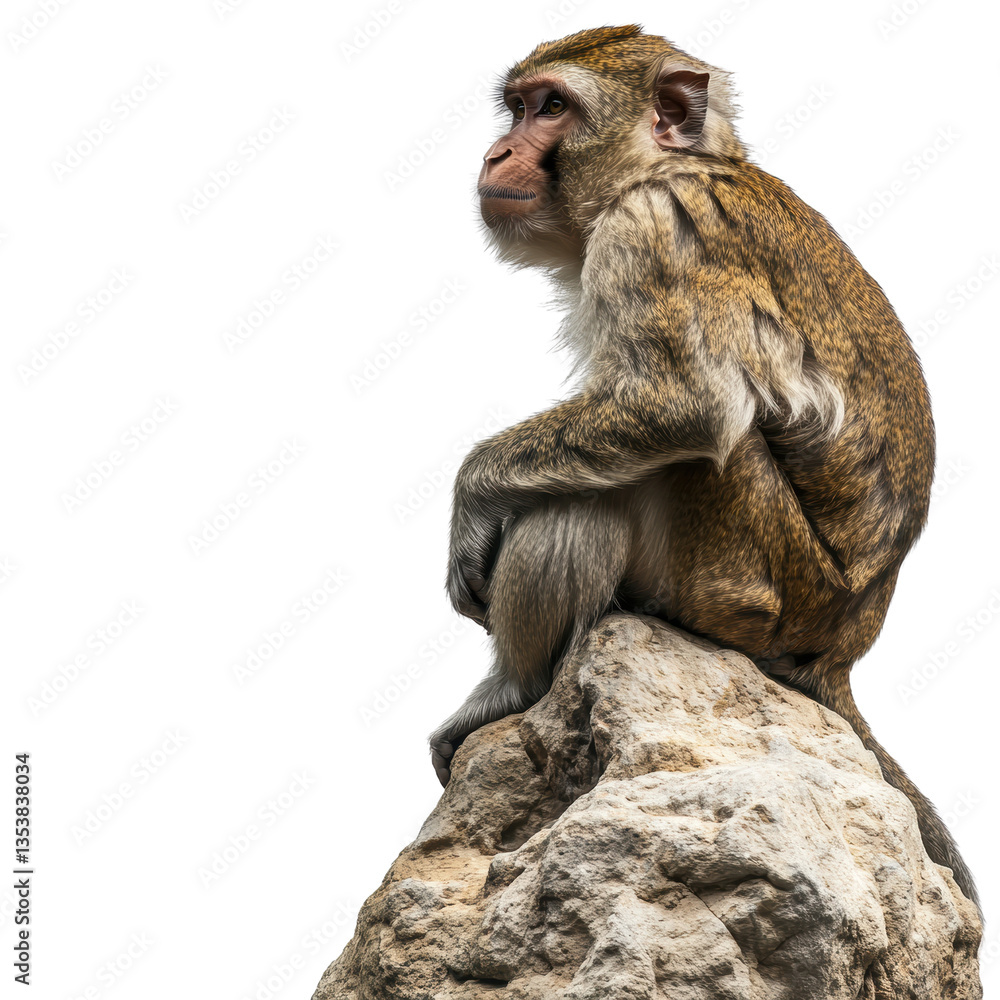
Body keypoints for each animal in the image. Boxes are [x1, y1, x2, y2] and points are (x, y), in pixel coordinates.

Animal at [427, 24, 979, 912]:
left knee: (616, 483)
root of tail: (843, 646)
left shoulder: (652, 228)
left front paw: (473, 494)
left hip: (745, 581)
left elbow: (684, 406)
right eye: (517, 107)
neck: (660, 168)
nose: (498, 151)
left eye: (553, 107)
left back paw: (512, 687)